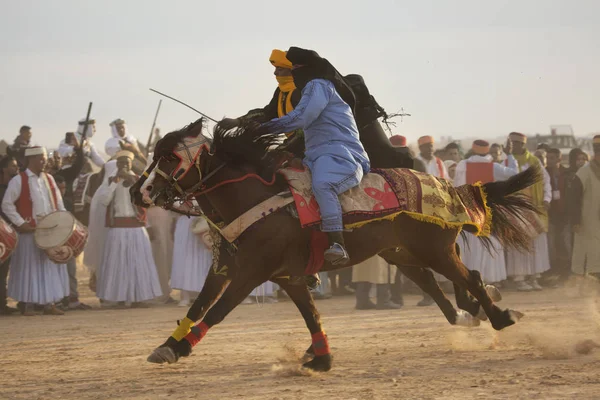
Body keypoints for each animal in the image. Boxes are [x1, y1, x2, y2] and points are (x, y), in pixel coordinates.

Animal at [135, 119, 540, 372]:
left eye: (170, 156)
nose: (141, 191)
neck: (256, 200)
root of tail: (449, 187)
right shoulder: (256, 272)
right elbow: (204, 305)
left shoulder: (254, 272)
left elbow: (217, 311)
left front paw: (181, 347)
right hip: (402, 253)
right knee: (437, 283)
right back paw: (471, 313)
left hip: (433, 250)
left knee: (469, 277)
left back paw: (500, 316)